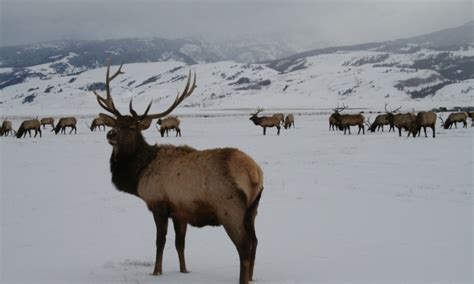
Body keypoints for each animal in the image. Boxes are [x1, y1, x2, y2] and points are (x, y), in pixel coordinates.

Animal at [91, 62, 264, 284]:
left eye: (131, 127)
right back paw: (251, 278)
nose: (110, 134)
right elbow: (180, 243)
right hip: (253, 208)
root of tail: (255, 172)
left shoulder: (158, 203)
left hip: (229, 207)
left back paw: (243, 279)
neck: (139, 174)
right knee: (255, 241)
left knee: (244, 245)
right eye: (114, 123)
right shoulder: (180, 211)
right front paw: (184, 270)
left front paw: (156, 271)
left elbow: (160, 241)